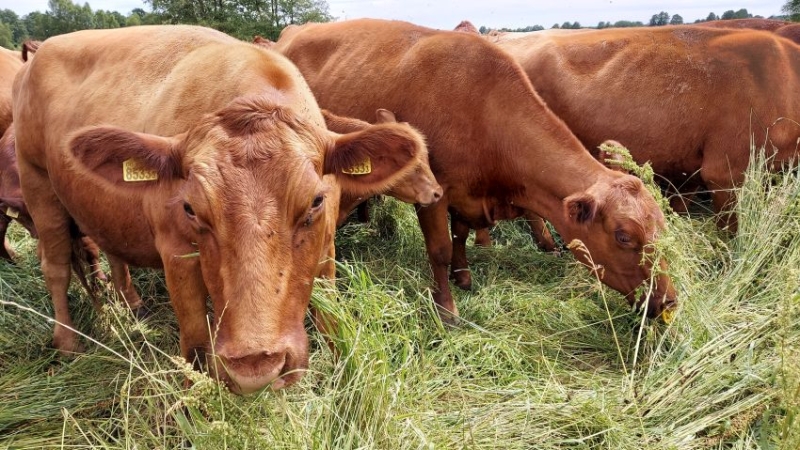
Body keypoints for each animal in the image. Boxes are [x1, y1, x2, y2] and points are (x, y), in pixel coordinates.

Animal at [12, 24, 424, 394]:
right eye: (191, 208)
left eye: (316, 200)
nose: (256, 365)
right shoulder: (176, 252)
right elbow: (195, 343)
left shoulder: (326, 247)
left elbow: (331, 321)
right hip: (37, 185)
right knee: (56, 268)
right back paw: (67, 343)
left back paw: (133, 307)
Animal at [274, 18, 676, 320]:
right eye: (624, 237)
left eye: (660, 230)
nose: (668, 300)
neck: (484, 109)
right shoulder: (433, 194)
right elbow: (439, 249)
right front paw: (447, 309)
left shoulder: (466, 195)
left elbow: (461, 235)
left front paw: (463, 275)